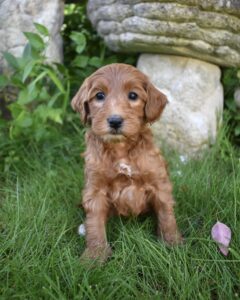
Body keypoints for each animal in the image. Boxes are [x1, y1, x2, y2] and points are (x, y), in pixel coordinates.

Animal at [72, 63, 181, 262]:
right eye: (99, 96)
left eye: (133, 95)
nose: (115, 121)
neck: (120, 148)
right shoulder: (95, 189)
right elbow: (94, 223)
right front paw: (94, 255)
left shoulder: (159, 183)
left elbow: (166, 214)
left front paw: (173, 244)